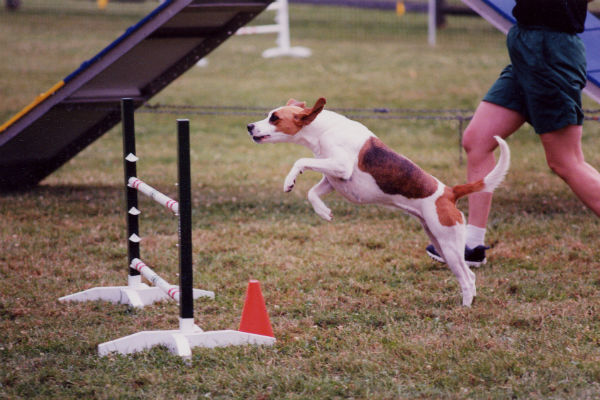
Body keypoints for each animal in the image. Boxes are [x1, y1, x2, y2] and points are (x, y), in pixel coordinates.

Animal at [246, 97, 508, 306]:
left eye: (274, 118)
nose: (249, 126)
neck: (324, 129)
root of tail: (449, 192)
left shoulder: (340, 167)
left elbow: (300, 161)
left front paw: (289, 180)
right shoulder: (333, 180)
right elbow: (312, 192)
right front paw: (323, 211)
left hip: (450, 245)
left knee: (467, 278)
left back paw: (465, 307)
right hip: (440, 242)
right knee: (468, 276)